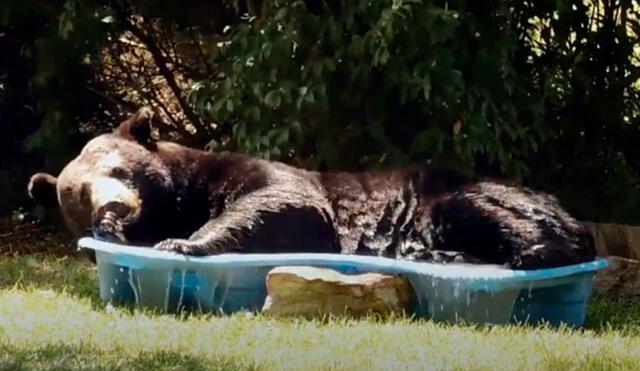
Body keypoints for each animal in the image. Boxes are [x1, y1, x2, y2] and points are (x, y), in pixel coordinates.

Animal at [27, 108, 592, 270]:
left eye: (119, 169)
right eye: (79, 194)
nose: (113, 209)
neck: (182, 196)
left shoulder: (264, 177)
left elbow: (280, 203)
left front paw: (182, 242)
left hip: (464, 194)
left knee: (486, 209)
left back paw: (534, 252)